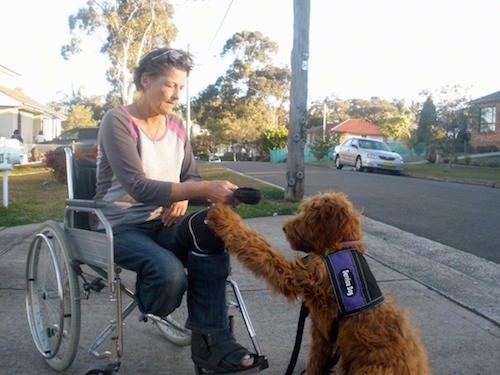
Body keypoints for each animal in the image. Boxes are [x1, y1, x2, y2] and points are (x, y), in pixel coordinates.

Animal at [207, 192, 430, 374]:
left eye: (310, 212)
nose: (284, 227)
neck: (338, 247)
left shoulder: (300, 276)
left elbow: (261, 249)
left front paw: (222, 216)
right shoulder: (322, 335)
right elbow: (316, 359)